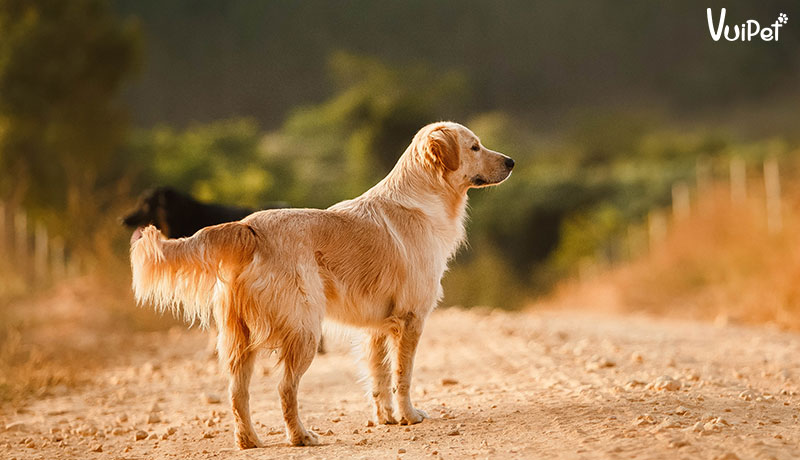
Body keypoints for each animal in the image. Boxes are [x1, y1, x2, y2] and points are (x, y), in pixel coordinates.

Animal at [128, 120, 510, 448]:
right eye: (475, 147)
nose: (512, 161)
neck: (424, 197)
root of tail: (248, 227)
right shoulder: (411, 318)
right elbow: (403, 374)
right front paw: (408, 415)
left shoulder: (377, 327)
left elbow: (379, 377)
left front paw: (386, 417)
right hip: (305, 330)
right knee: (285, 388)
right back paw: (300, 436)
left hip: (239, 339)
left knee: (237, 393)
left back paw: (249, 440)